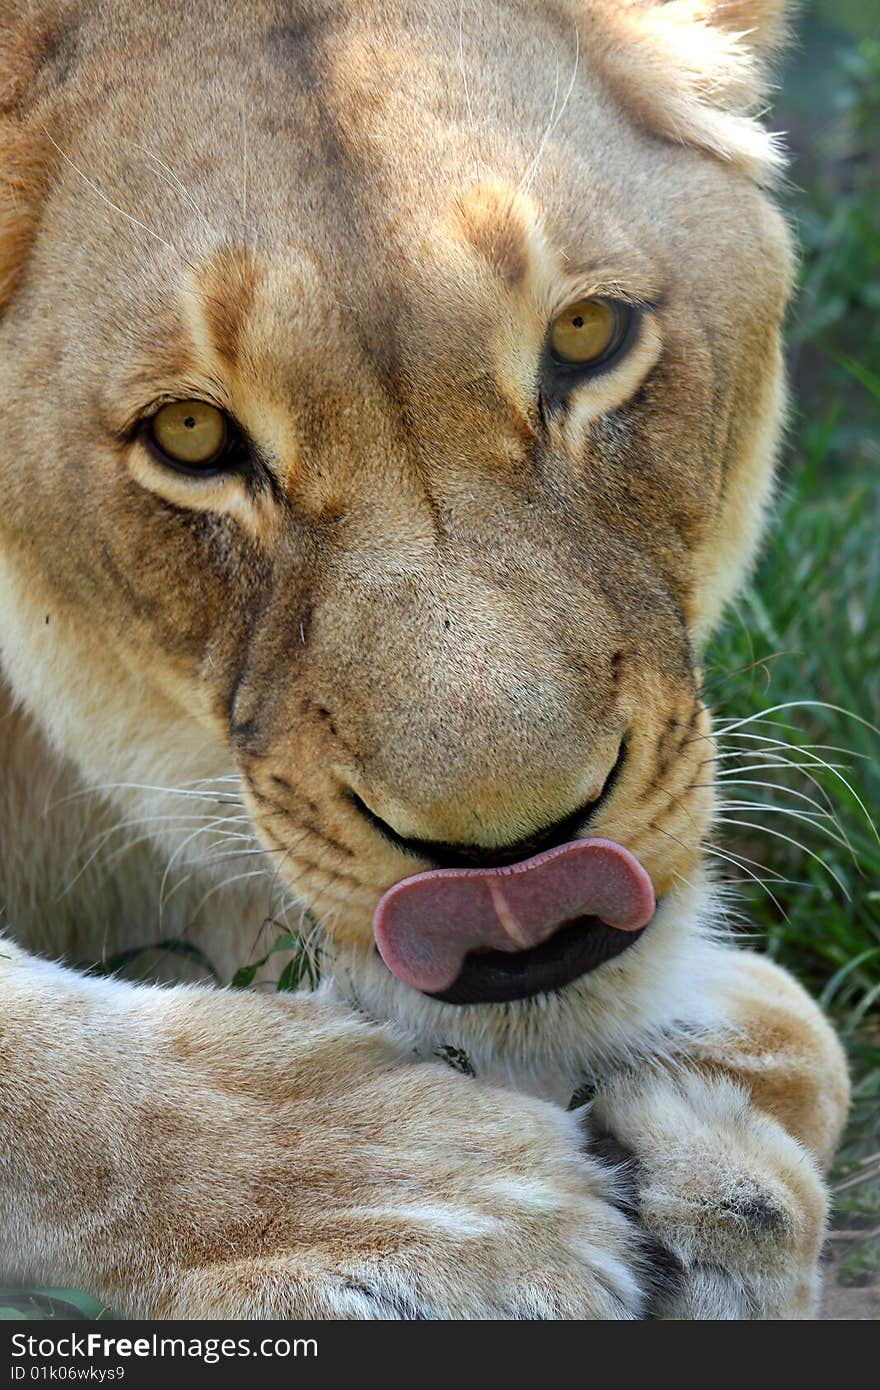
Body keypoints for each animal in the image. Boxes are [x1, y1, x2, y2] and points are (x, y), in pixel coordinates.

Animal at [0, 0, 850, 1317]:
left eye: (586, 333)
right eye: (188, 435)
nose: (516, 872)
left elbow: (814, 1039)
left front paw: (722, 1140)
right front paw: (448, 1207)